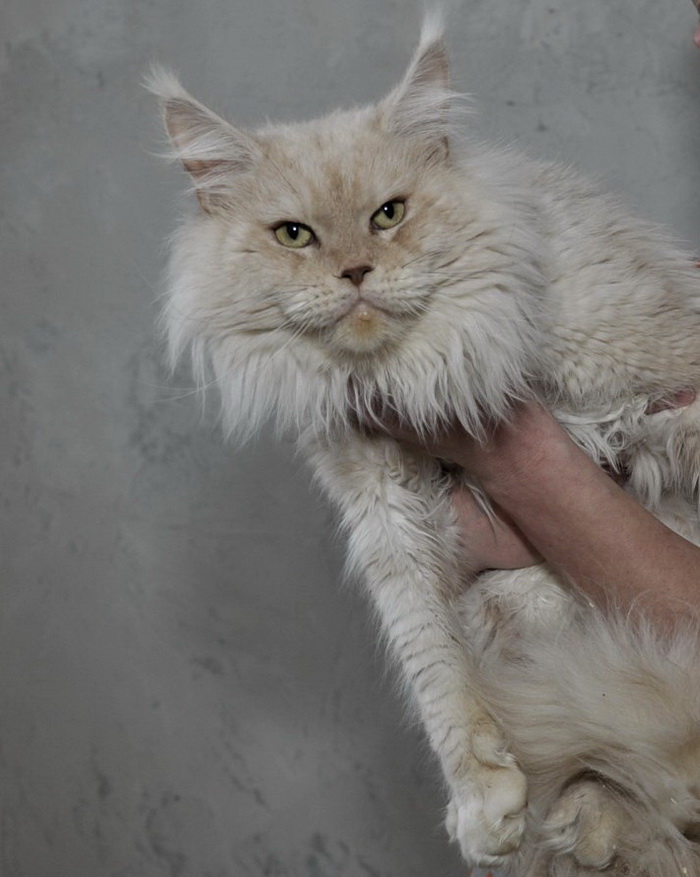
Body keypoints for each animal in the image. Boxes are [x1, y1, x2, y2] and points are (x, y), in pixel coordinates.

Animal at [150, 14, 700, 875]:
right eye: (294, 235)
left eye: (388, 214)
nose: (355, 272)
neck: (418, 369)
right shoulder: (383, 511)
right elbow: (430, 660)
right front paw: (484, 802)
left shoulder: (655, 370)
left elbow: (663, 426)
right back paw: (580, 823)